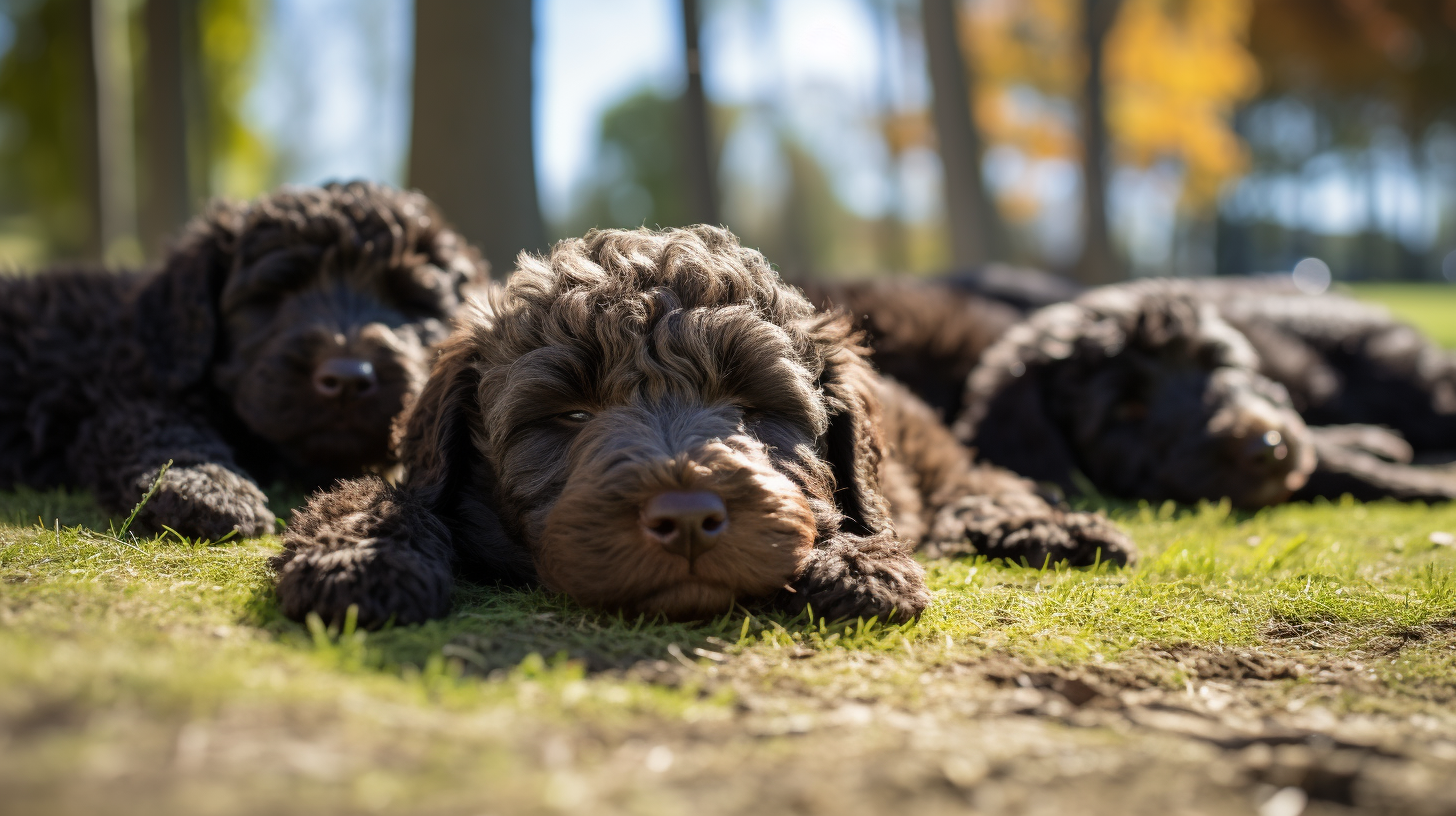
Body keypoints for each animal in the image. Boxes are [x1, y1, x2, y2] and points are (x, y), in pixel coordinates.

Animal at [0, 183, 489, 542]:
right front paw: (212, 489)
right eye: (272, 295)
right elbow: (168, 434)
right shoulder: (125, 404)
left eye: (411, 302)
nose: (347, 379)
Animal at [273, 225, 1135, 626]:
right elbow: (379, 497)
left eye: (752, 410)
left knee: (984, 481)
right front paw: (361, 558)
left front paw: (859, 563)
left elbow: (849, 511)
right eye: (571, 414)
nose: (687, 517)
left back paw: (1057, 528)